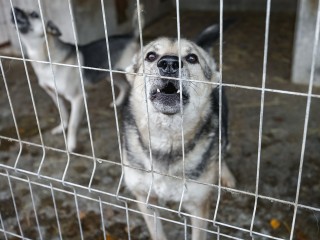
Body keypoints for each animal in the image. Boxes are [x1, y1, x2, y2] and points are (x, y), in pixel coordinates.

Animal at [10, 7, 138, 152]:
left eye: (34, 14)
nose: (14, 9)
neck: (45, 59)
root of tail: (130, 36)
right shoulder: (54, 95)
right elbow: (63, 114)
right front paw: (61, 128)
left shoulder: (78, 98)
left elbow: (72, 124)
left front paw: (70, 145)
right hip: (109, 75)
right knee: (124, 86)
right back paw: (117, 103)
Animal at [122, 24, 235, 238]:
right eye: (151, 56)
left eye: (192, 58)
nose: (169, 63)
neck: (166, 140)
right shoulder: (145, 199)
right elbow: (157, 233)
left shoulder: (199, 207)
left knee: (222, 148)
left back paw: (226, 176)